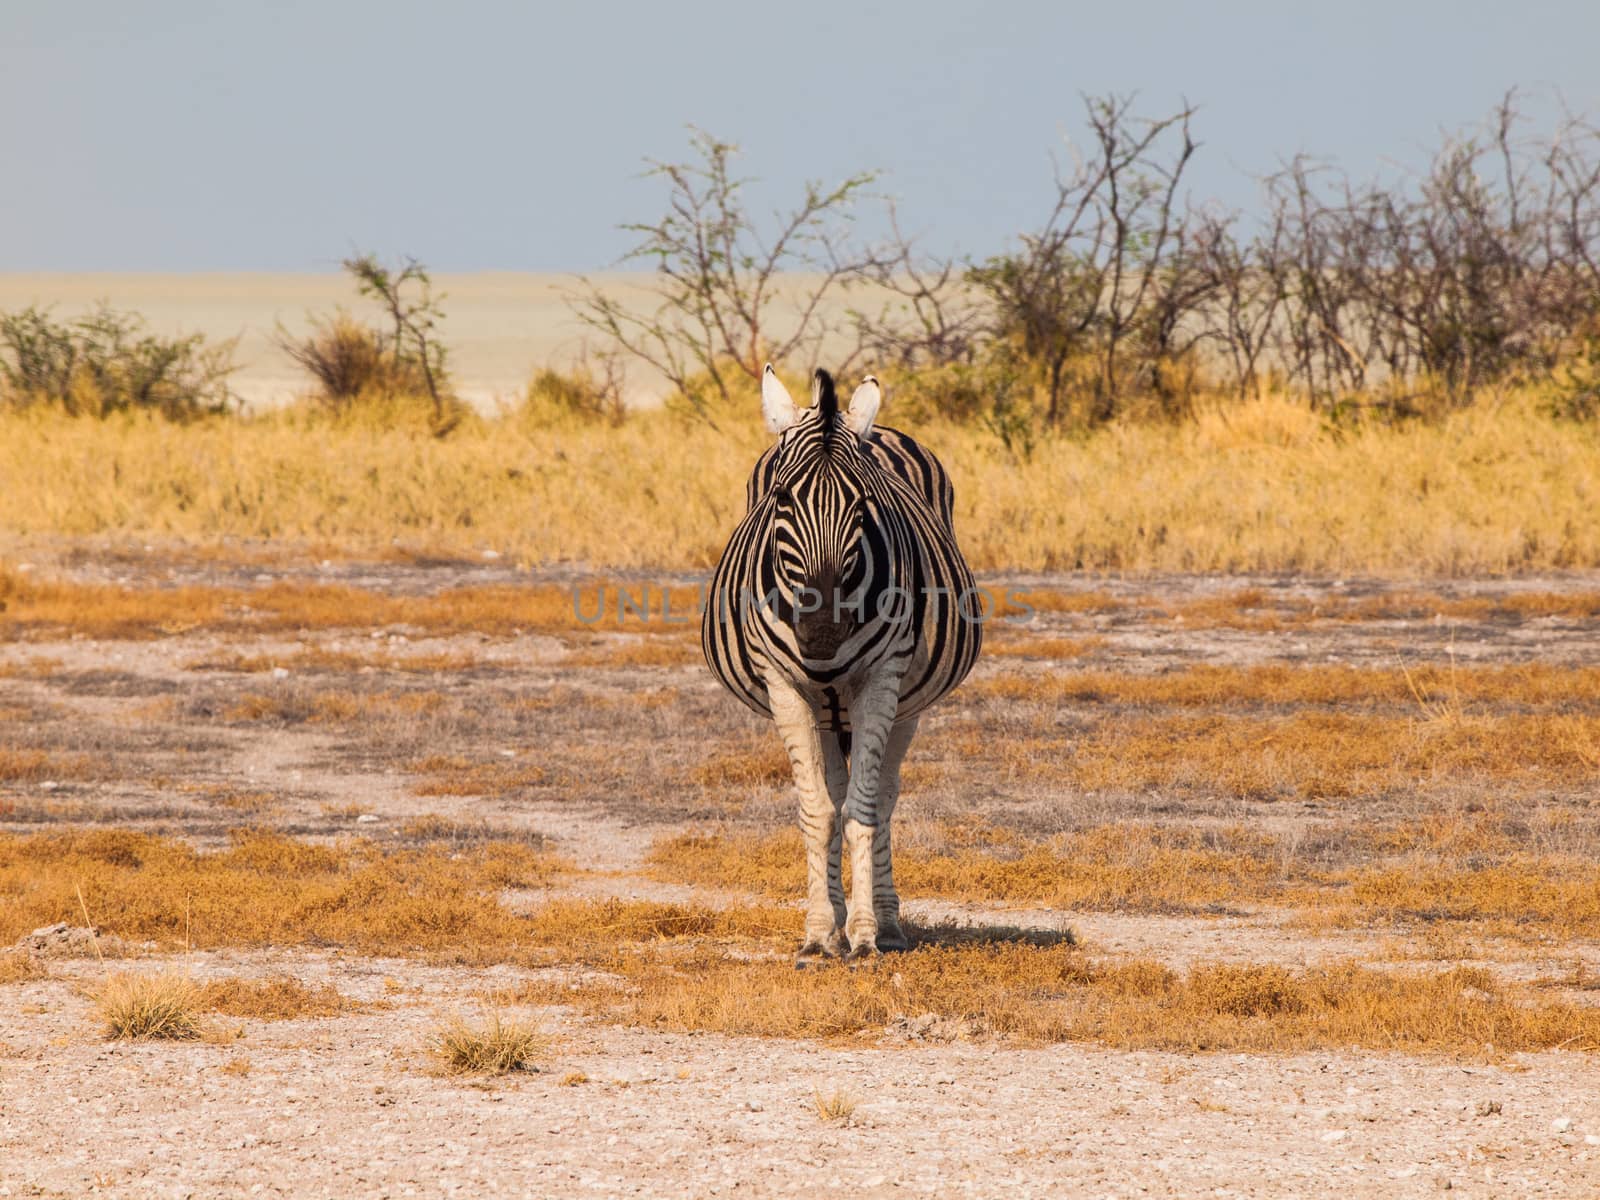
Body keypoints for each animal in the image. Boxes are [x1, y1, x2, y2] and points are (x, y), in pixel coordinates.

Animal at [707, 366, 979, 966]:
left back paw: (890, 922)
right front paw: (818, 933)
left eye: (862, 504)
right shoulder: (785, 686)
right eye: (781, 497)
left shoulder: (881, 682)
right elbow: (819, 812)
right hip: (826, 711)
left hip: (905, 704)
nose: (824, 628)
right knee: (831, 791)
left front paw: (865, 933)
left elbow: (864, 808)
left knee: (886, 795)